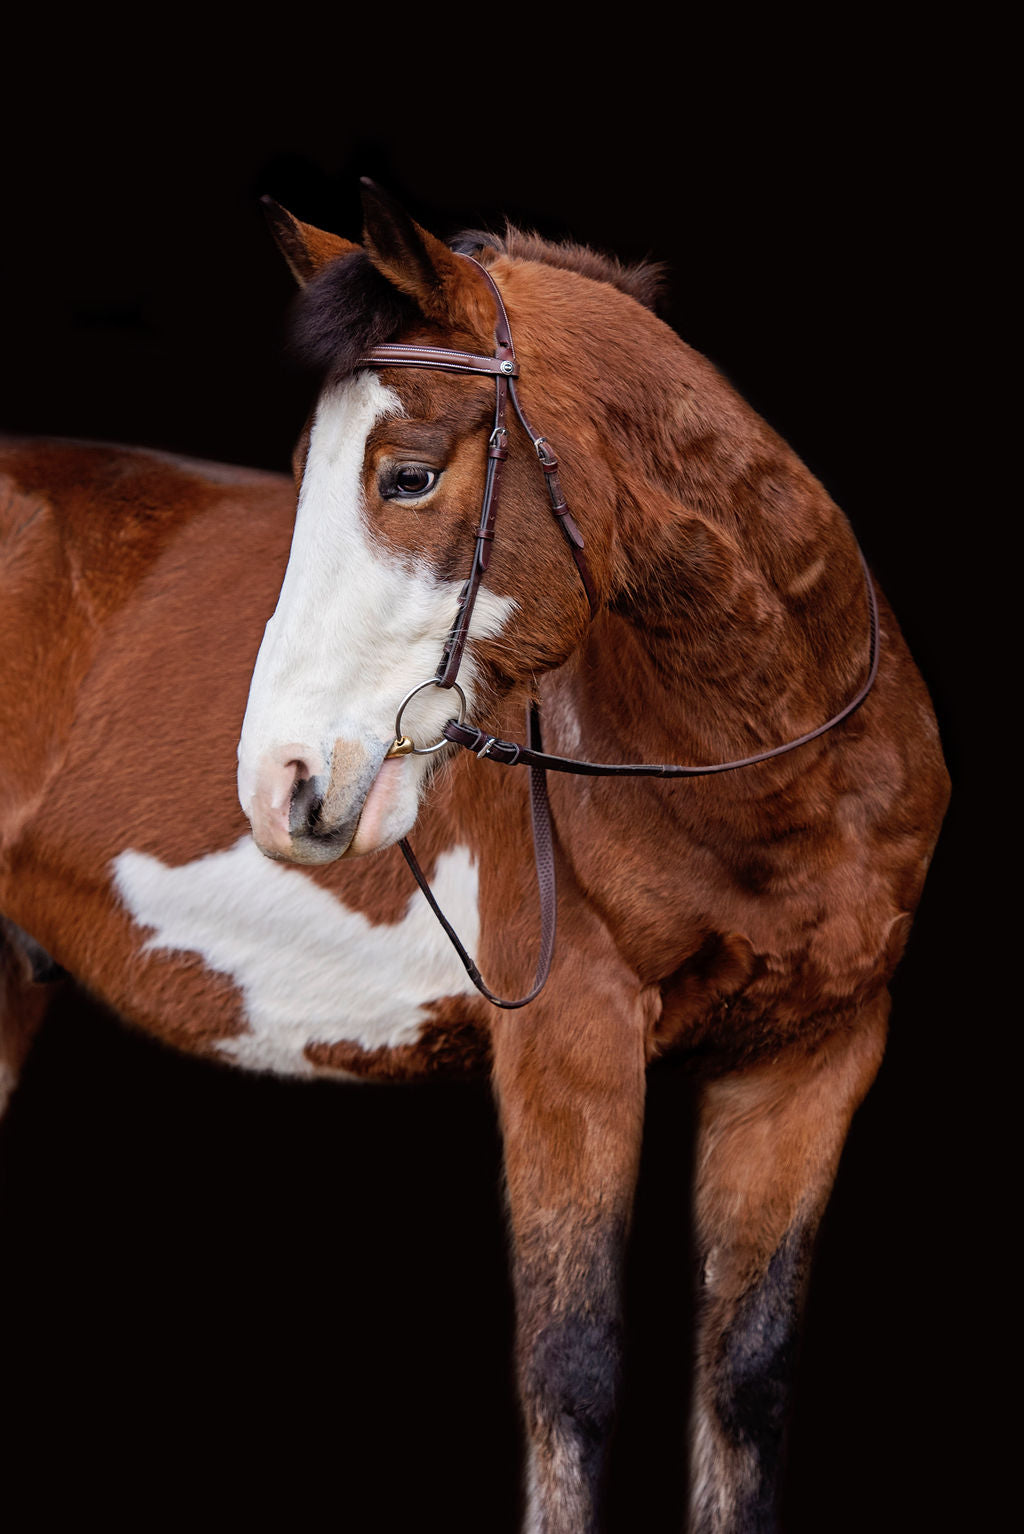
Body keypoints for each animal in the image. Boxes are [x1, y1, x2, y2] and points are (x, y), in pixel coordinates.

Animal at [0, 182, 949, 1533]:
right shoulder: (569, 1041)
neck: (771, 777)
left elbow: (746, 1385)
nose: (280, 782)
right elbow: (572, 1379)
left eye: (407, 474)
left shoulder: (812, 1058)